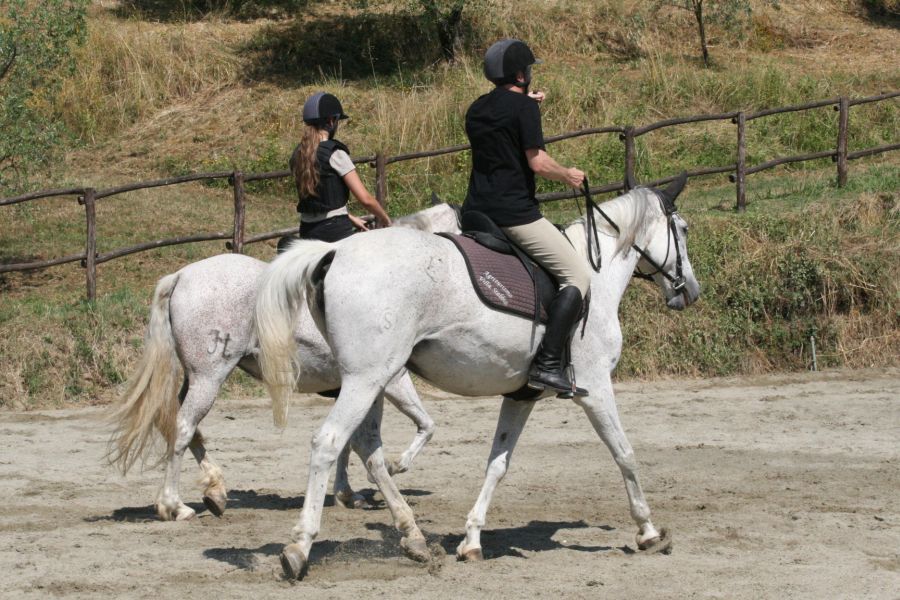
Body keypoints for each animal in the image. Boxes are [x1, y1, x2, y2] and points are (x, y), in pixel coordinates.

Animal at [109, 202, 460, 520]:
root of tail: (181, 275)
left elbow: (348, 441)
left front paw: (346, 493)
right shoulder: (391, 380)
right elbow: (426, 425)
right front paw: (395, 465)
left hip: (196, 379)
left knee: (186, 426)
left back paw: (215, 491)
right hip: (209, 378)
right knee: (183, 427)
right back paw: (174, 506)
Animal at [256, 177, 700, 576]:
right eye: (681, 229)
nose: (690, 292)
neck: (596, 276)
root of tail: (333, 251)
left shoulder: (521, 396)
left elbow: (497, 464)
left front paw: (471, 540)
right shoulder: (594, 388)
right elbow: (624, 453)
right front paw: (648, 531)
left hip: (372, 381)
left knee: (369, 449)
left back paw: (414, 537)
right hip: (367, 379)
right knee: (329, 443)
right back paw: (299, 548)